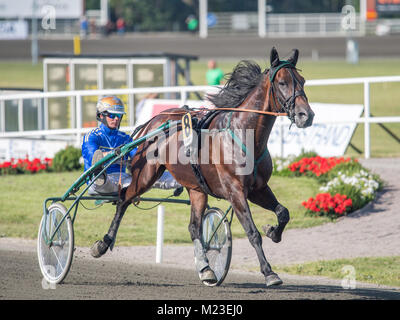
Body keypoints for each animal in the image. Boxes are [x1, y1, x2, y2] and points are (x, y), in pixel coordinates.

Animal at [90, 47, 316, 288]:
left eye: (302, 81)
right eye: (282, 82)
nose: (306, 115)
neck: (244, 135)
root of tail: (154, 121)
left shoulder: (258, 188)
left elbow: (283, 213)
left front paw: (273, 232)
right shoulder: (235, 191)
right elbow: (252, 232)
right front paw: (269, 272)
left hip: (196, 188)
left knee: (193, 227)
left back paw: (206, 269)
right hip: (145, 175)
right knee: (124, 199)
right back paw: (102, 244)